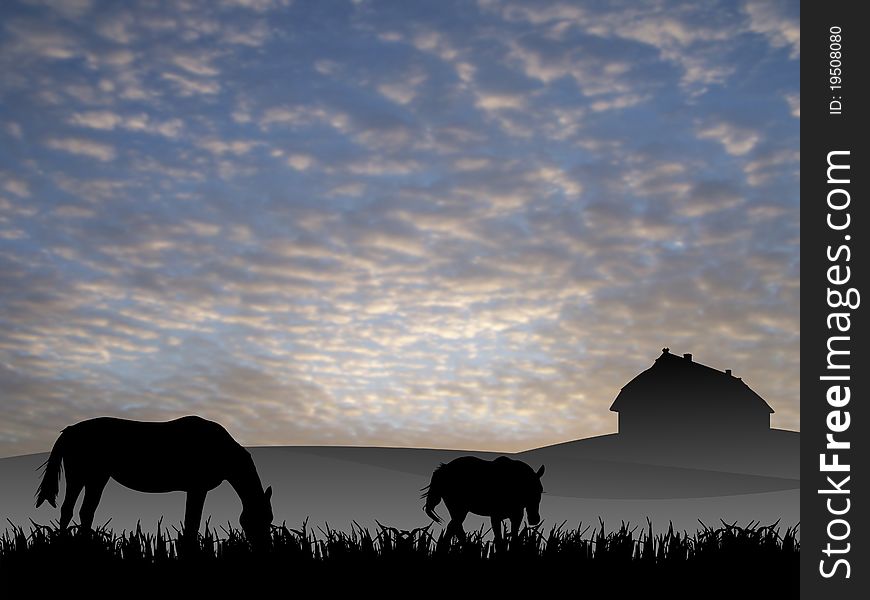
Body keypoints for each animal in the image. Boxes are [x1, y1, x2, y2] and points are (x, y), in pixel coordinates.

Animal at [35, 418, 274, 548]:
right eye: (258, 519)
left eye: (270, 519)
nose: (264, 548)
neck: (219, 448)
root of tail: (70, 431)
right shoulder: (197, 489)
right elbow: (192, 522)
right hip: (79, 476)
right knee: (68, 510)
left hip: (97, 478)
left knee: (85, 512)